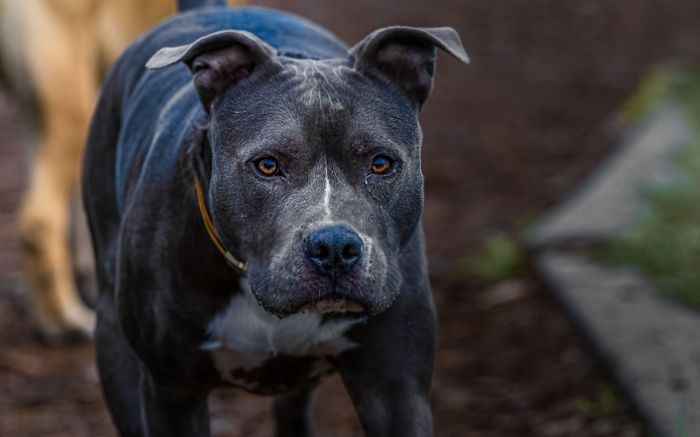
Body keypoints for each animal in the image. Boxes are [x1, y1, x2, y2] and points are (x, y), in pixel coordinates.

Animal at [82, 1, 468, 434]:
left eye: (381, 163)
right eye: (267, 165)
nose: (334, 248)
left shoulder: (394, 388)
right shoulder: (173, 393)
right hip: (114, 341)